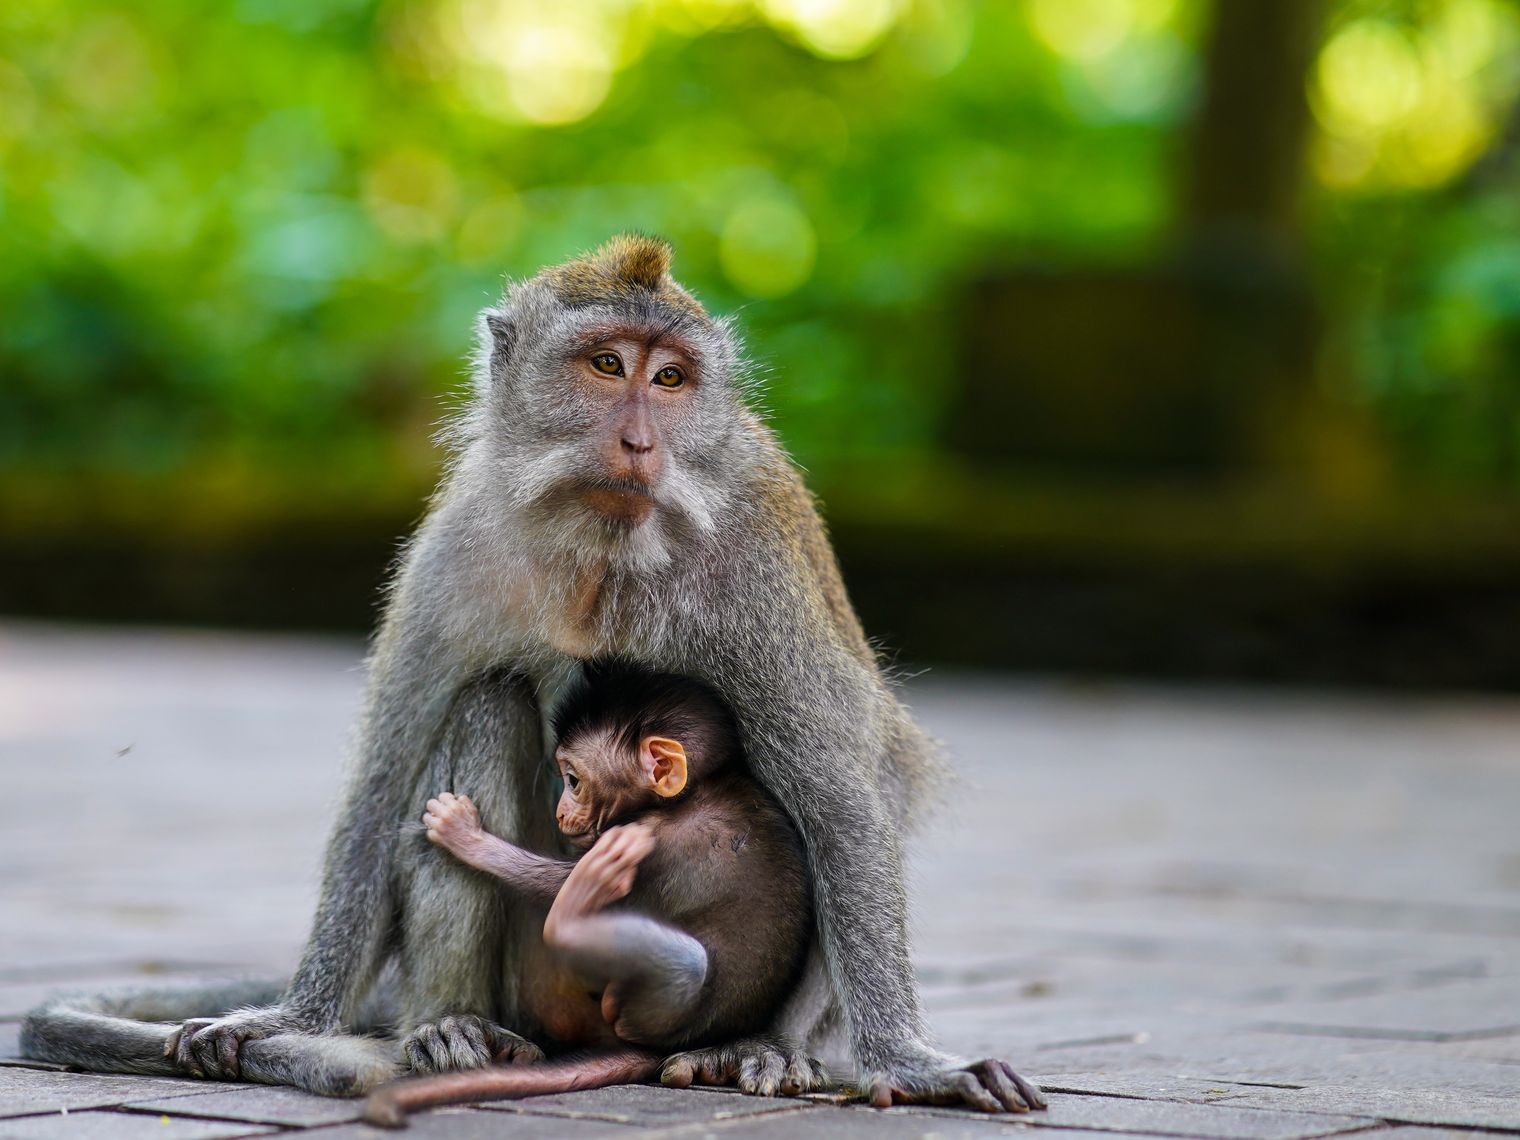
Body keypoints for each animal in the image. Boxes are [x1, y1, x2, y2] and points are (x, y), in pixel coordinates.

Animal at [360, 661, 815, 1127]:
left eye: (574, 780)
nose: (562, 812)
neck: (696, 792)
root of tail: (663, 1046)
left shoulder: (653, 840)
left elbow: (554, 883)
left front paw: (465, 835)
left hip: (649, 1009)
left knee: (686, 962)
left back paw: (573, 916)